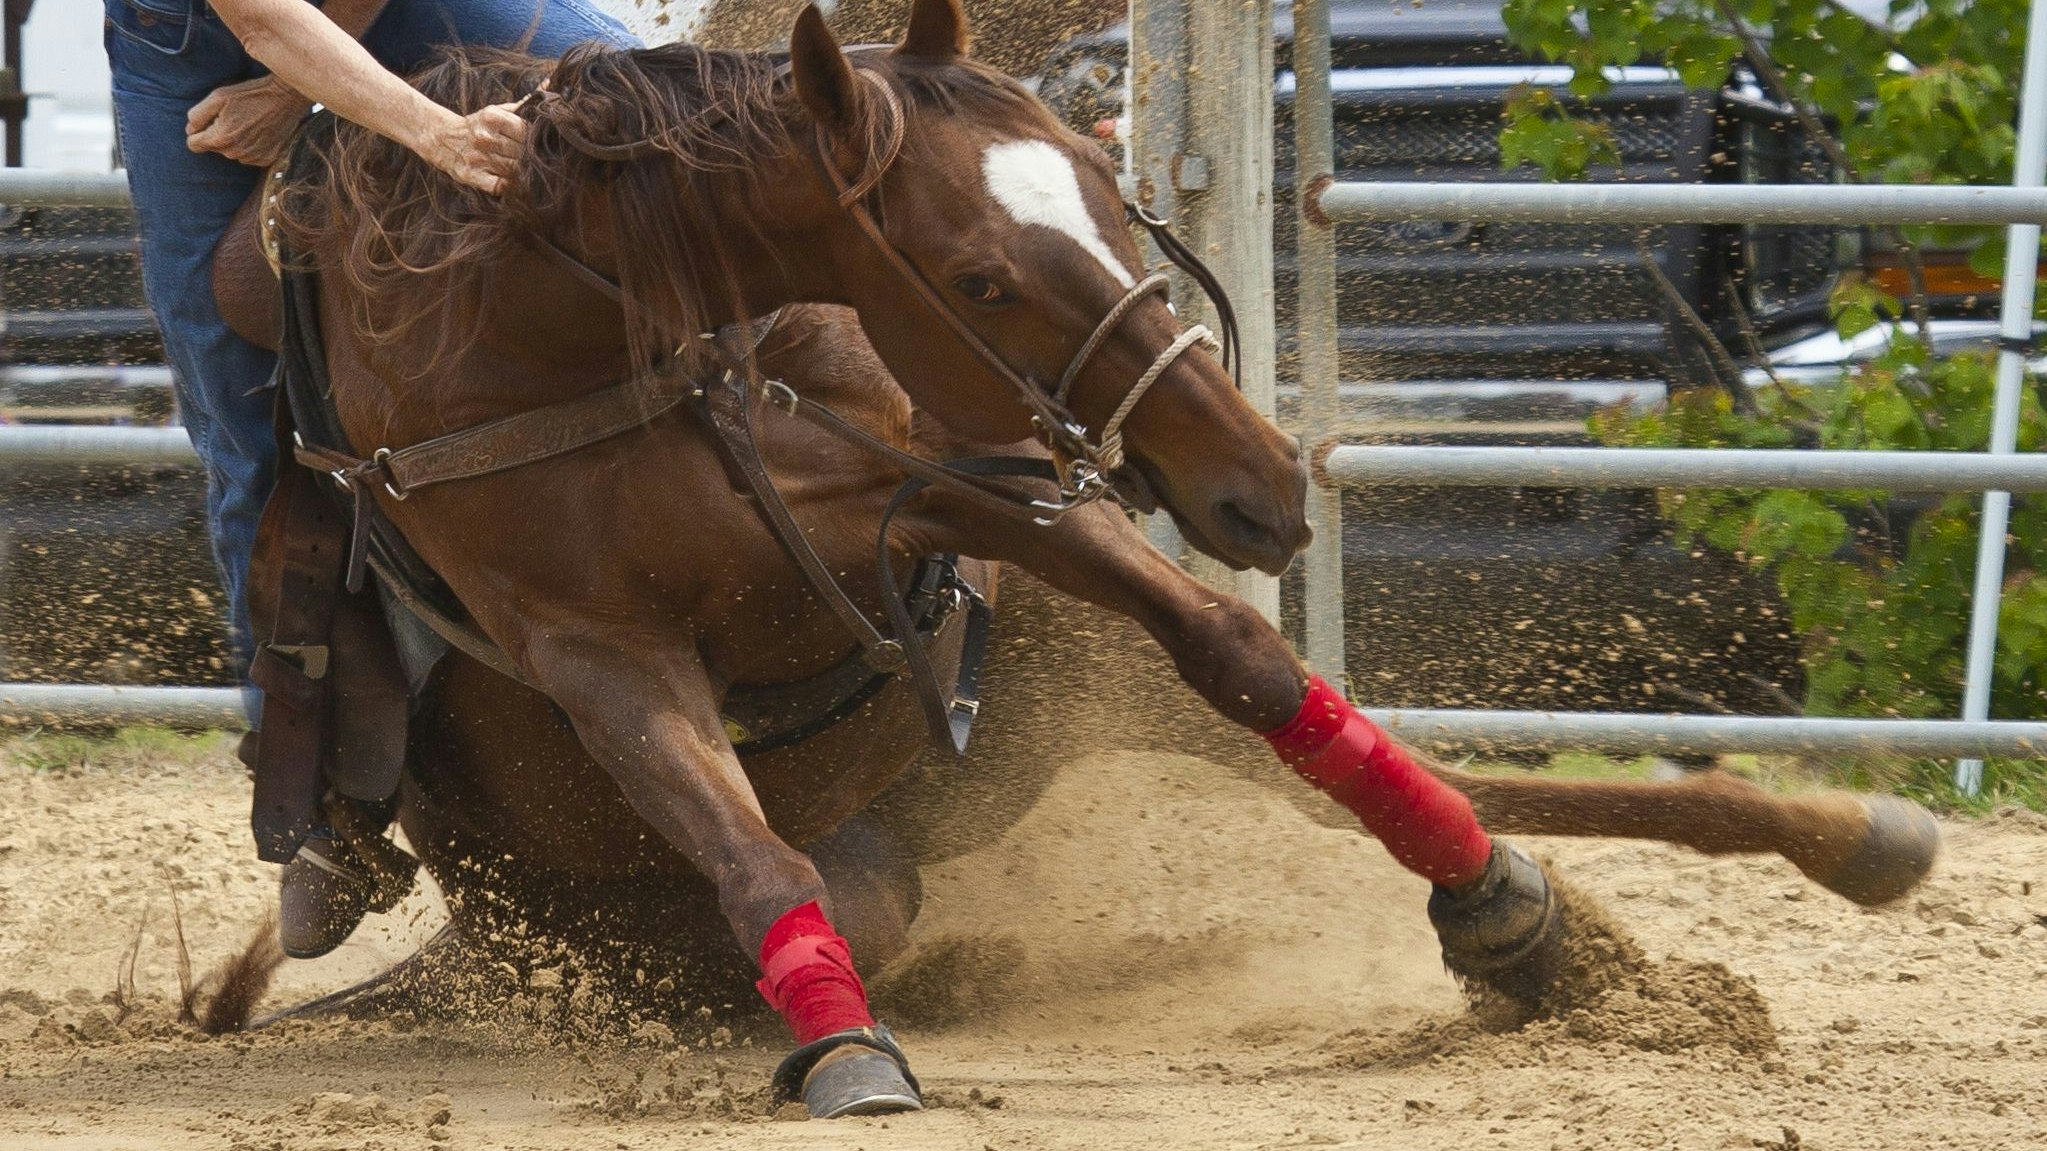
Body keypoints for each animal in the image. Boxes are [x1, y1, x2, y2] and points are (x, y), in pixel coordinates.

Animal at [210, 0, 1941, 1119]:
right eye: (979, 275)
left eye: (1114, 193)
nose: (1259, 482)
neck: (615, 329)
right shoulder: (599, 649)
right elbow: (755, 856)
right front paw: (848, 1054)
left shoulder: (979, 491)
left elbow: (1251, 660)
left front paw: (1504, 904)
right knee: (831, 894)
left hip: (1061, 685)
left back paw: (1830, 836)